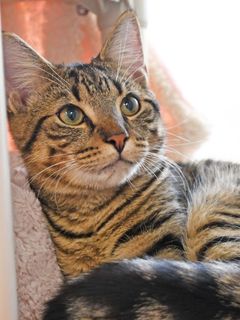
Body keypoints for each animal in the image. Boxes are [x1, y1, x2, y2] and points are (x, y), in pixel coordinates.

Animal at [3, 10, 240, 320]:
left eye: (130, 104)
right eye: (70, 115)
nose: (118, 137)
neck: (93, 215)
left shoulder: (159, 253)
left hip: (213, 211)